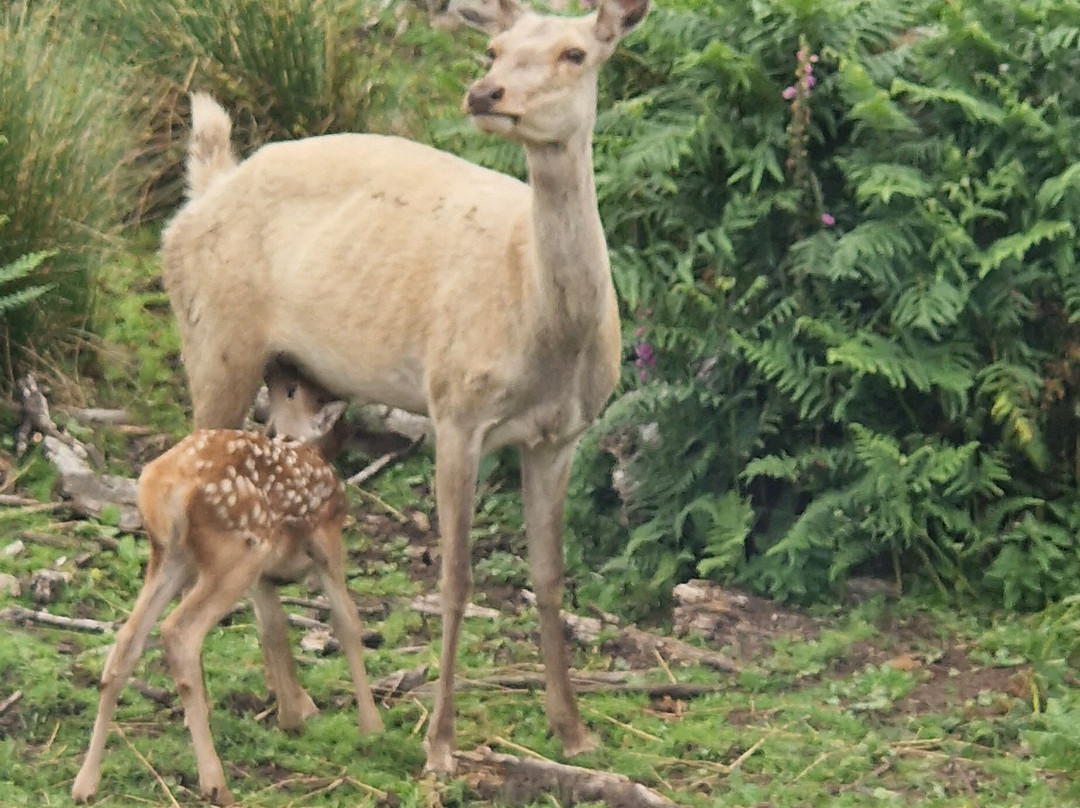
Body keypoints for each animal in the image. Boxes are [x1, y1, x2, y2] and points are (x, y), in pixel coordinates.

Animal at [71, 366, 383, 806]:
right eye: (295, 390)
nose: (276, 371)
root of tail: (166, 484)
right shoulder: (326, 539)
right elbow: (347, 621)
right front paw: (372, 726)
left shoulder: (264, 577)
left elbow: (273, 629)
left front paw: (293, 717)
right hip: (237, 551)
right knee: (179, 633)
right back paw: (215, 782)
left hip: (172, 557)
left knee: (128, 640)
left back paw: (85, 782)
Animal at [159, 0, 649, 773]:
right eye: (493, 49)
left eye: (575, 52)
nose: (486, 94)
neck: (544, 332)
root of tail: (203, 189)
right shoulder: (455, 408)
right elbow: (454, 580)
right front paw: (440, 745)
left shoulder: (561, 434)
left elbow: (549, 576)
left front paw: (573, 731)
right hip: (211, 341)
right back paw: (284, 702)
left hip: (284, 373)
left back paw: (295, 703)